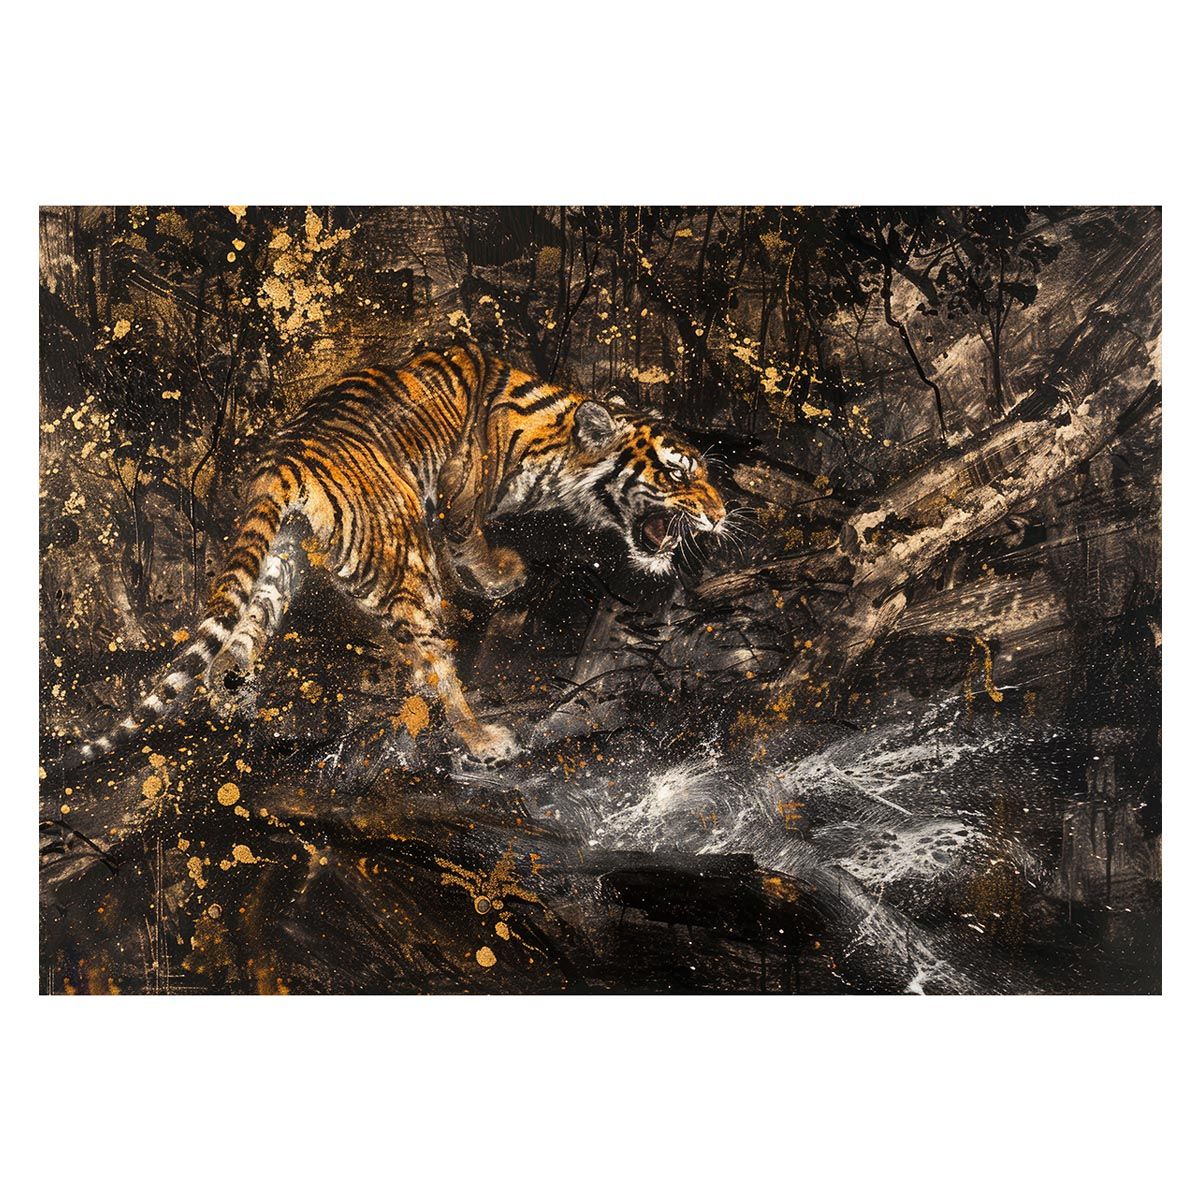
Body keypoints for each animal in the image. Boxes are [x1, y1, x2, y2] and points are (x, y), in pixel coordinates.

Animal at [52, 342, 727, 773]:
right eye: (676, 472)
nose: (722, 515)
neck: (555, 443)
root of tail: (286, 462)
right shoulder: (459, 502)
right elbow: (472, 544)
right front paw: (503, 575)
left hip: (280, 560)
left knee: (236, 639)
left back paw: (235, 701)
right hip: (407, 563)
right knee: (432, 666)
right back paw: (483, 739)